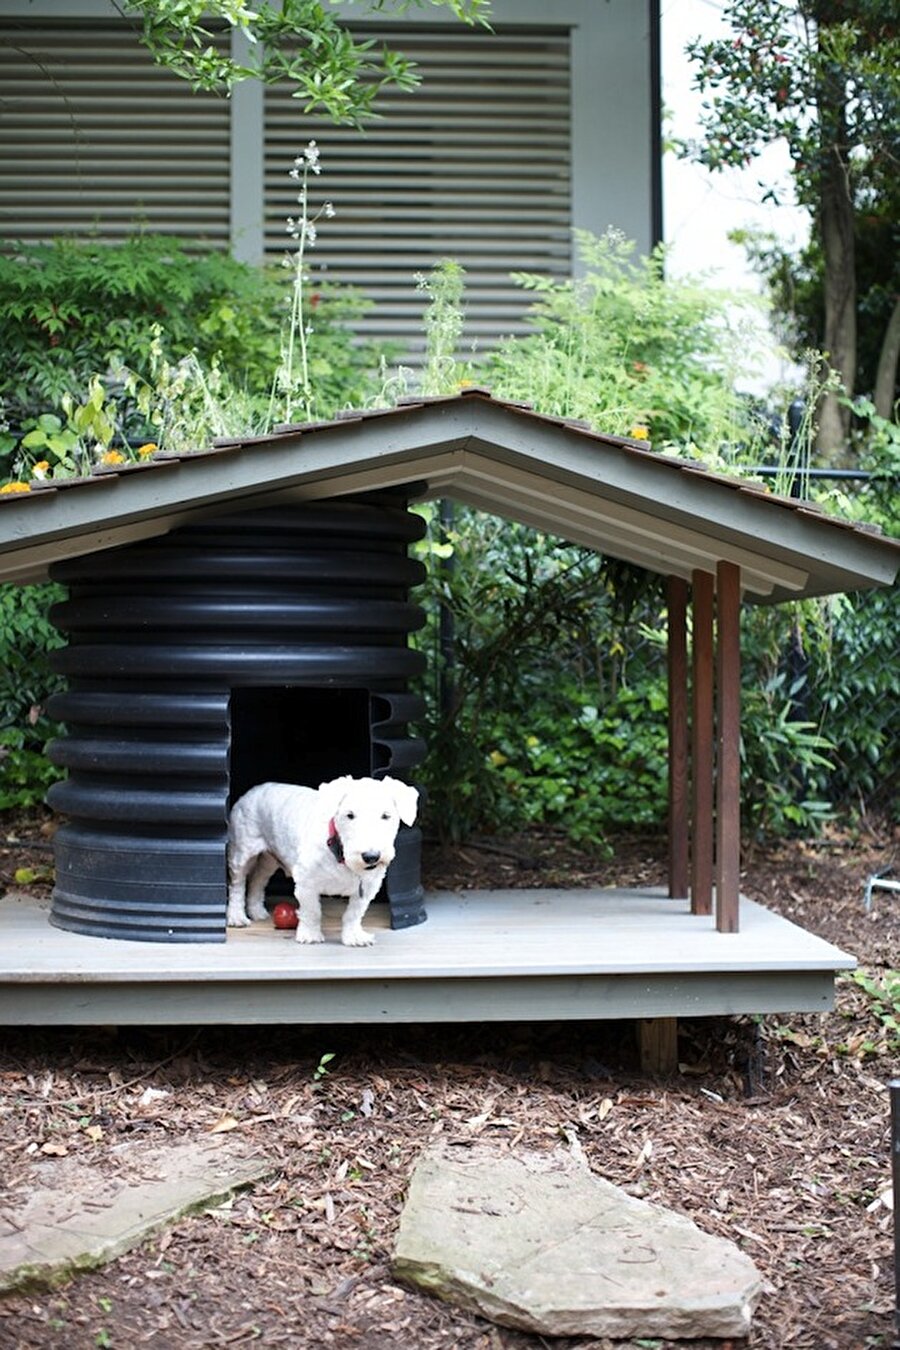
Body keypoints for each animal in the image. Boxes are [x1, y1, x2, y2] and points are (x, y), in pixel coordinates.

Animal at [226, 777, 420, 945]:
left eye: (386, 816)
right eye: (349, 815)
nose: (371, 857)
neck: (340, 854)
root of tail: (254, 790)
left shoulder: (368, 887)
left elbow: (354, 913)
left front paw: (354, 936)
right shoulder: (306, 882)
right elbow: (312, 911)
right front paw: (310, 935)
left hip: (269, 859)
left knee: (258, 880)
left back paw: (257, 911)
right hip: (243, 850)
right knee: (238, 884)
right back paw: (236, 916)